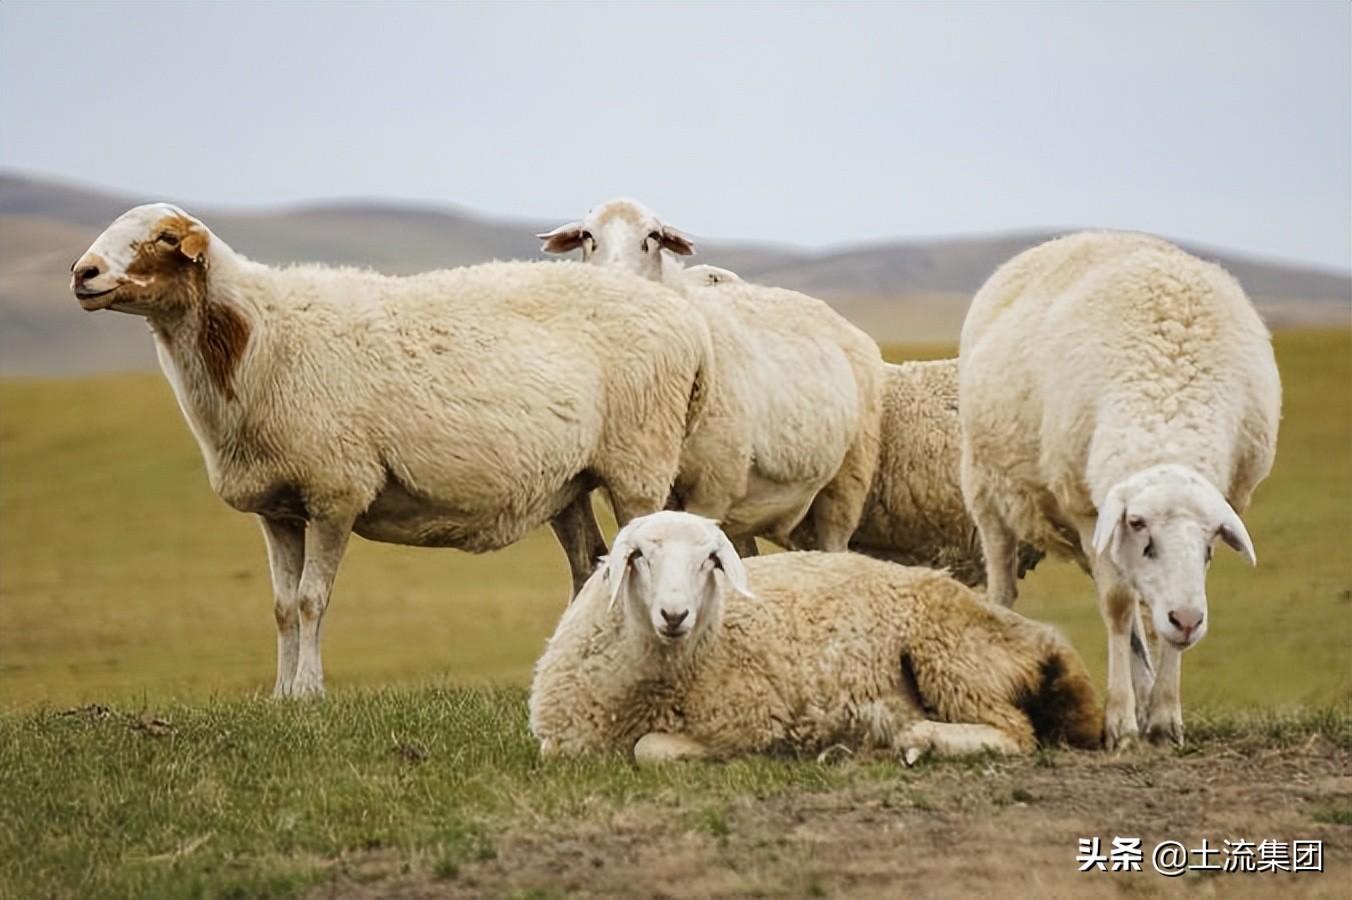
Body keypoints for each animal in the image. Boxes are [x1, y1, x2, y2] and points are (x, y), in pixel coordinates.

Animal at [71, 201, 719, 691]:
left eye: (164, 237)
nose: (83, 273)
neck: (255, 336)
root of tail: (686, 320)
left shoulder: (335, 490)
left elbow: (311, 601)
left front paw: (308, 693)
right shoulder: (277, 507)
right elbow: (281, 607)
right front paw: (280, 696)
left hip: (638, 465)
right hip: (569, 483)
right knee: (589, 568)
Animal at [521, 510, 1103, 756]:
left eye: (711, 560)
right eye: (639, 555)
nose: (674, 614)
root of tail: (1039, 639)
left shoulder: (747, 722)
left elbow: (653, 749)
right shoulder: (560, 744)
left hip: (949, 655)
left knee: (1015, 733)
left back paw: (917, 740)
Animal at [957, 229, 1281, 740]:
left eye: (1210, 540)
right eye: (1139, 523)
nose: (1189, 621)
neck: (1167, 405)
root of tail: (1069, 236)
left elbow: (1154, 616)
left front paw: (1164, 715)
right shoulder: (1090, 511)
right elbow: (1116, 606)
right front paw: (1121, 721)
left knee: (1140, 612)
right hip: (988, 494)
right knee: (1005, 584)